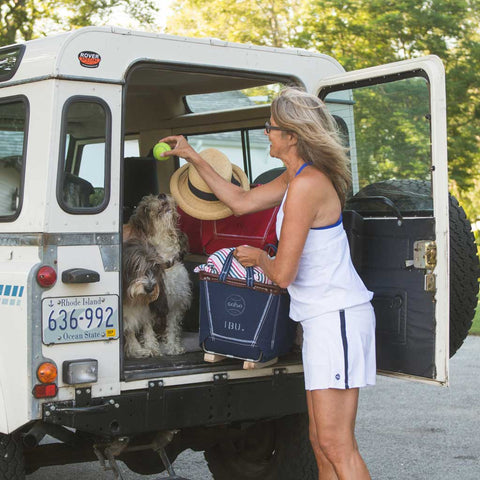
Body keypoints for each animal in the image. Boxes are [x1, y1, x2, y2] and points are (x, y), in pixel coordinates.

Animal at [125, 193, 193, 354]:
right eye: (145, 207)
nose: (162, 195)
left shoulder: (175, 305)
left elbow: (172, 328)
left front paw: (172, 347)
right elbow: (147, 327)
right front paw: (150, 347)